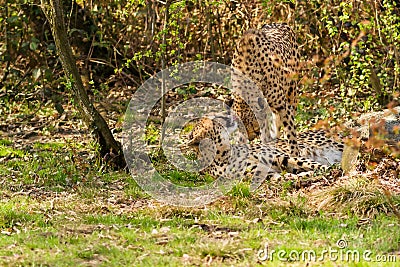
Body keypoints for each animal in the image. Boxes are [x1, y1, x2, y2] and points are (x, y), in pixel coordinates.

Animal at [183, 115, 342, 191]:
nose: (231, 117)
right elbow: (283, 178)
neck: (222, 151)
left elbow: (310, 164)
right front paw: (305, 175)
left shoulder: (282, 157)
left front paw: (329, 169)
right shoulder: (263, 173)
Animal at [231, 24, 300, 156]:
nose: (251, 138)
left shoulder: (283, 106)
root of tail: (282, 23)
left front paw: (295, 155)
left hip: (291, 92)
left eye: (254, 128)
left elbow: (291, 134)